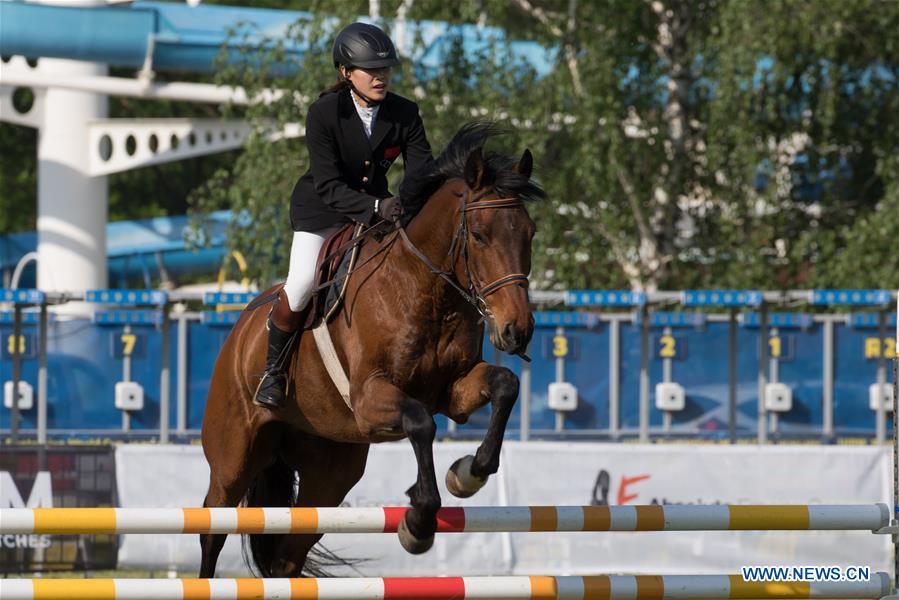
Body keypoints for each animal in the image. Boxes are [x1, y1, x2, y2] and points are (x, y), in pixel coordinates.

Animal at [200, 123, 544, 576]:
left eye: (530, 233)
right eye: (479, 235)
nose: (517, 330)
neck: (426, 290)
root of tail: (239, 334)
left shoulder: (453, 390)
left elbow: (505, 384)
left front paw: (467, 474)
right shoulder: (370, 399)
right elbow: (421, 423)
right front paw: (419, 522)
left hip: (329, 476)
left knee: (289, 554)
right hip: (232, 459)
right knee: (212, 529)